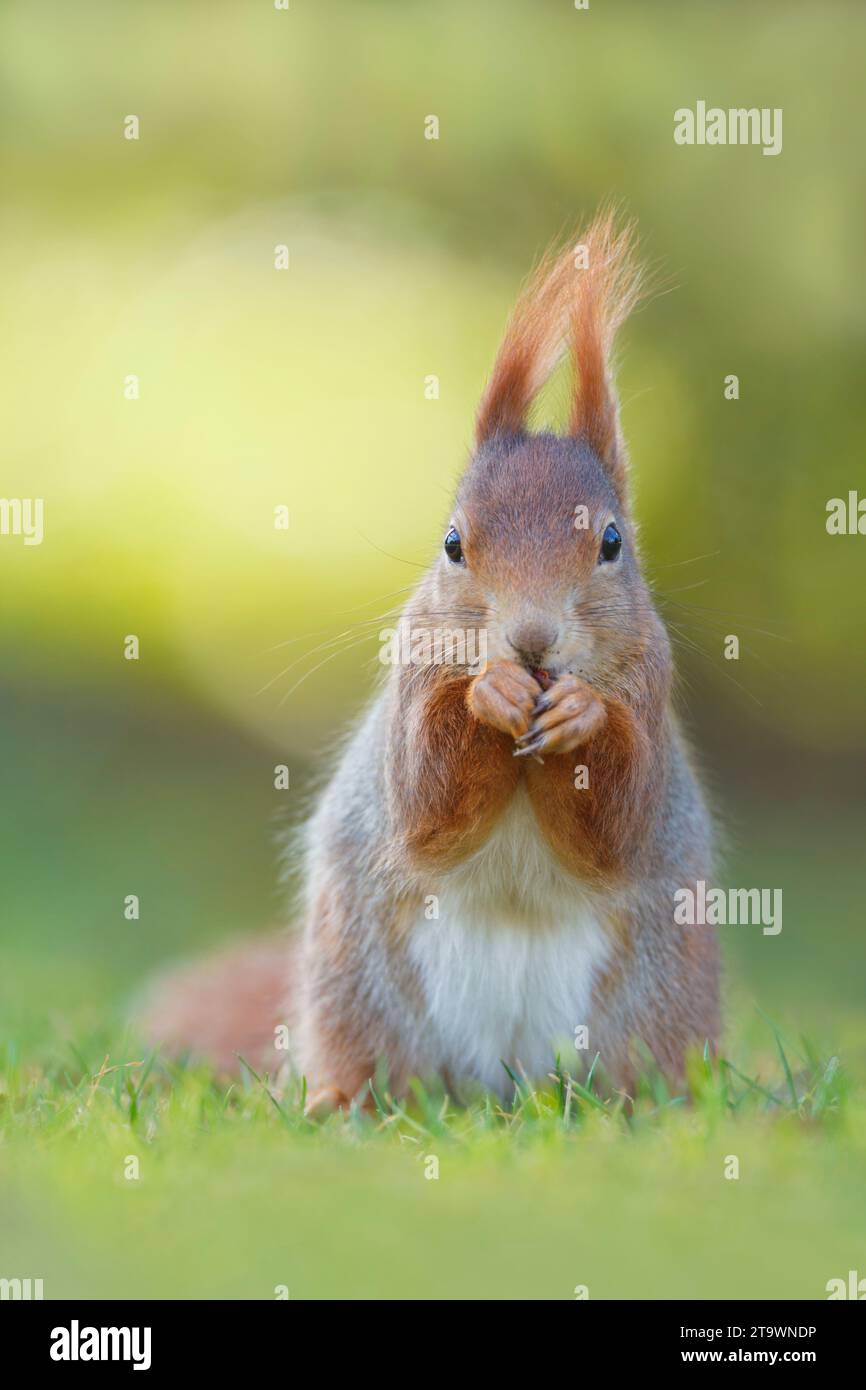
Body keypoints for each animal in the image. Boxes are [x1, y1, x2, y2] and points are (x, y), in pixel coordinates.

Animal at [140, 208, 717, 1106]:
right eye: (452, 543)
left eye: (613, 542)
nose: (530, 641)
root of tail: (500, 1086)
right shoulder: (413, 676)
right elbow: (425, 799)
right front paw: (490, 695)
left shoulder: (650, 691)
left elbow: (618, 825)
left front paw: (581, 714)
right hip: (357, 998)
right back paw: (338, 1101)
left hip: (654, 1016)